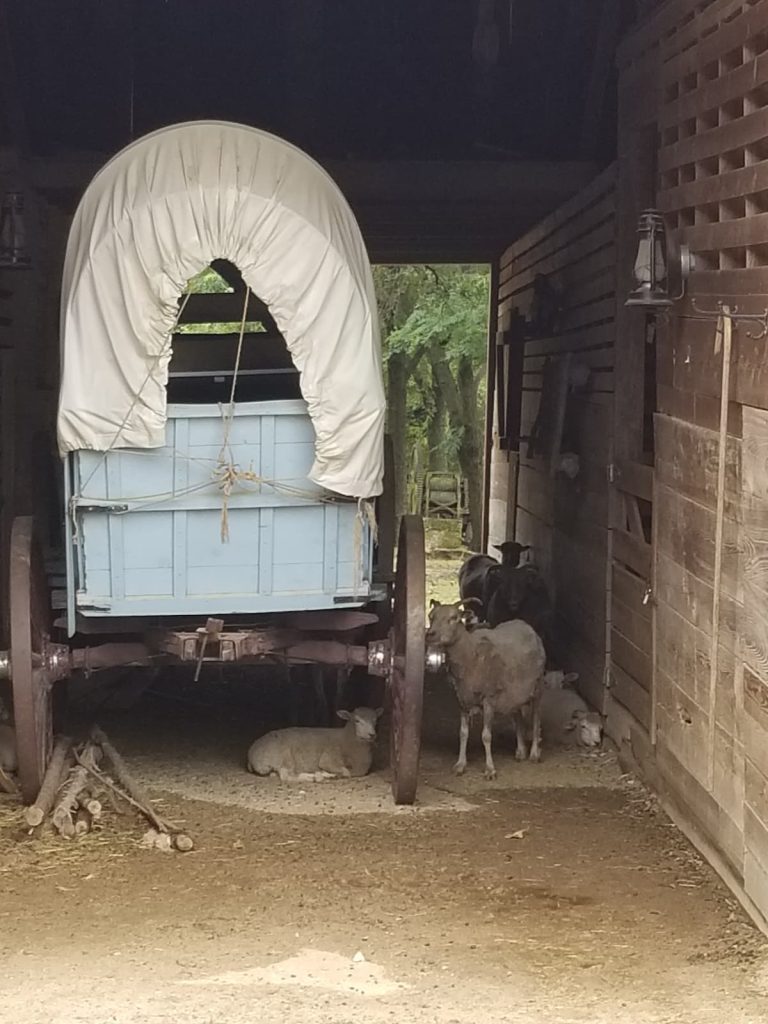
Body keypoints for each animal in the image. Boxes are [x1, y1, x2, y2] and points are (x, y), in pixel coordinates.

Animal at [246, 704, 382, 782]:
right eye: (357, 721)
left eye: (375, 720)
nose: (372, 734)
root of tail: (251, 754)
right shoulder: (329, 758)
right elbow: (346, 772)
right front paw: (324, 774)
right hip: (284, 756)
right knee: (287, 776)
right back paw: (311, 777)